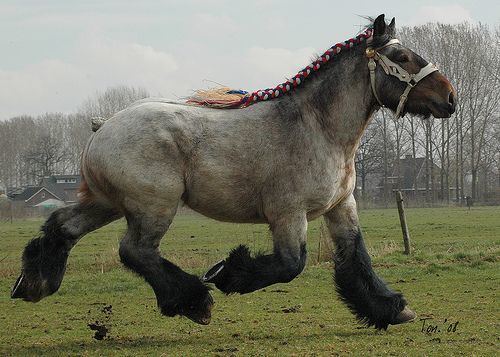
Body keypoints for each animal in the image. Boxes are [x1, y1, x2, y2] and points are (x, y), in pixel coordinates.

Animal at [11, 15, 458, 330]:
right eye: (402, 58)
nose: (450, 98)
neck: (320, 128)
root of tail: (101, 127)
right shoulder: (288, 214)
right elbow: (290, 264)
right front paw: (226, 273)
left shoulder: (340, 206)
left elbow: (355, 257)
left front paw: (390, 309)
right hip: (153, 206)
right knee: (135, 251)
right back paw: (194, 301)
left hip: (107, 203)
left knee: (63, 226)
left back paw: (34, 283)